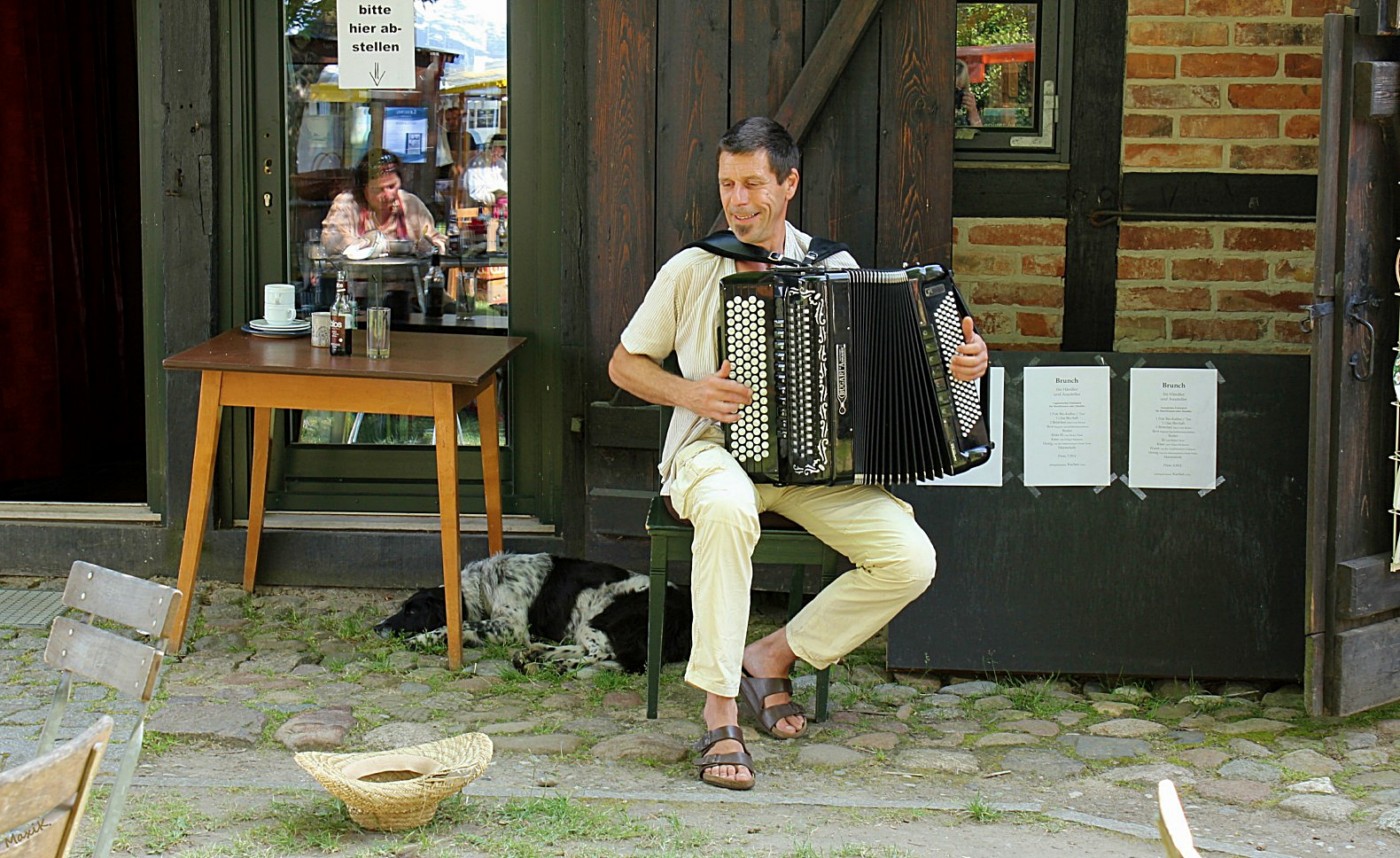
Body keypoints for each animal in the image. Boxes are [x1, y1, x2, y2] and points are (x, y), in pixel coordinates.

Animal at [375, 551, 691, 671]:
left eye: (412, 612)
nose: (377, 628)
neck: (486, 584)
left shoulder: (511, 626)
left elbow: (460, 626)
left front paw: (421, 639)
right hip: (583, 626)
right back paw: (536, 654)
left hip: (597, 620)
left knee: (602, 654)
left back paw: (554, 664)